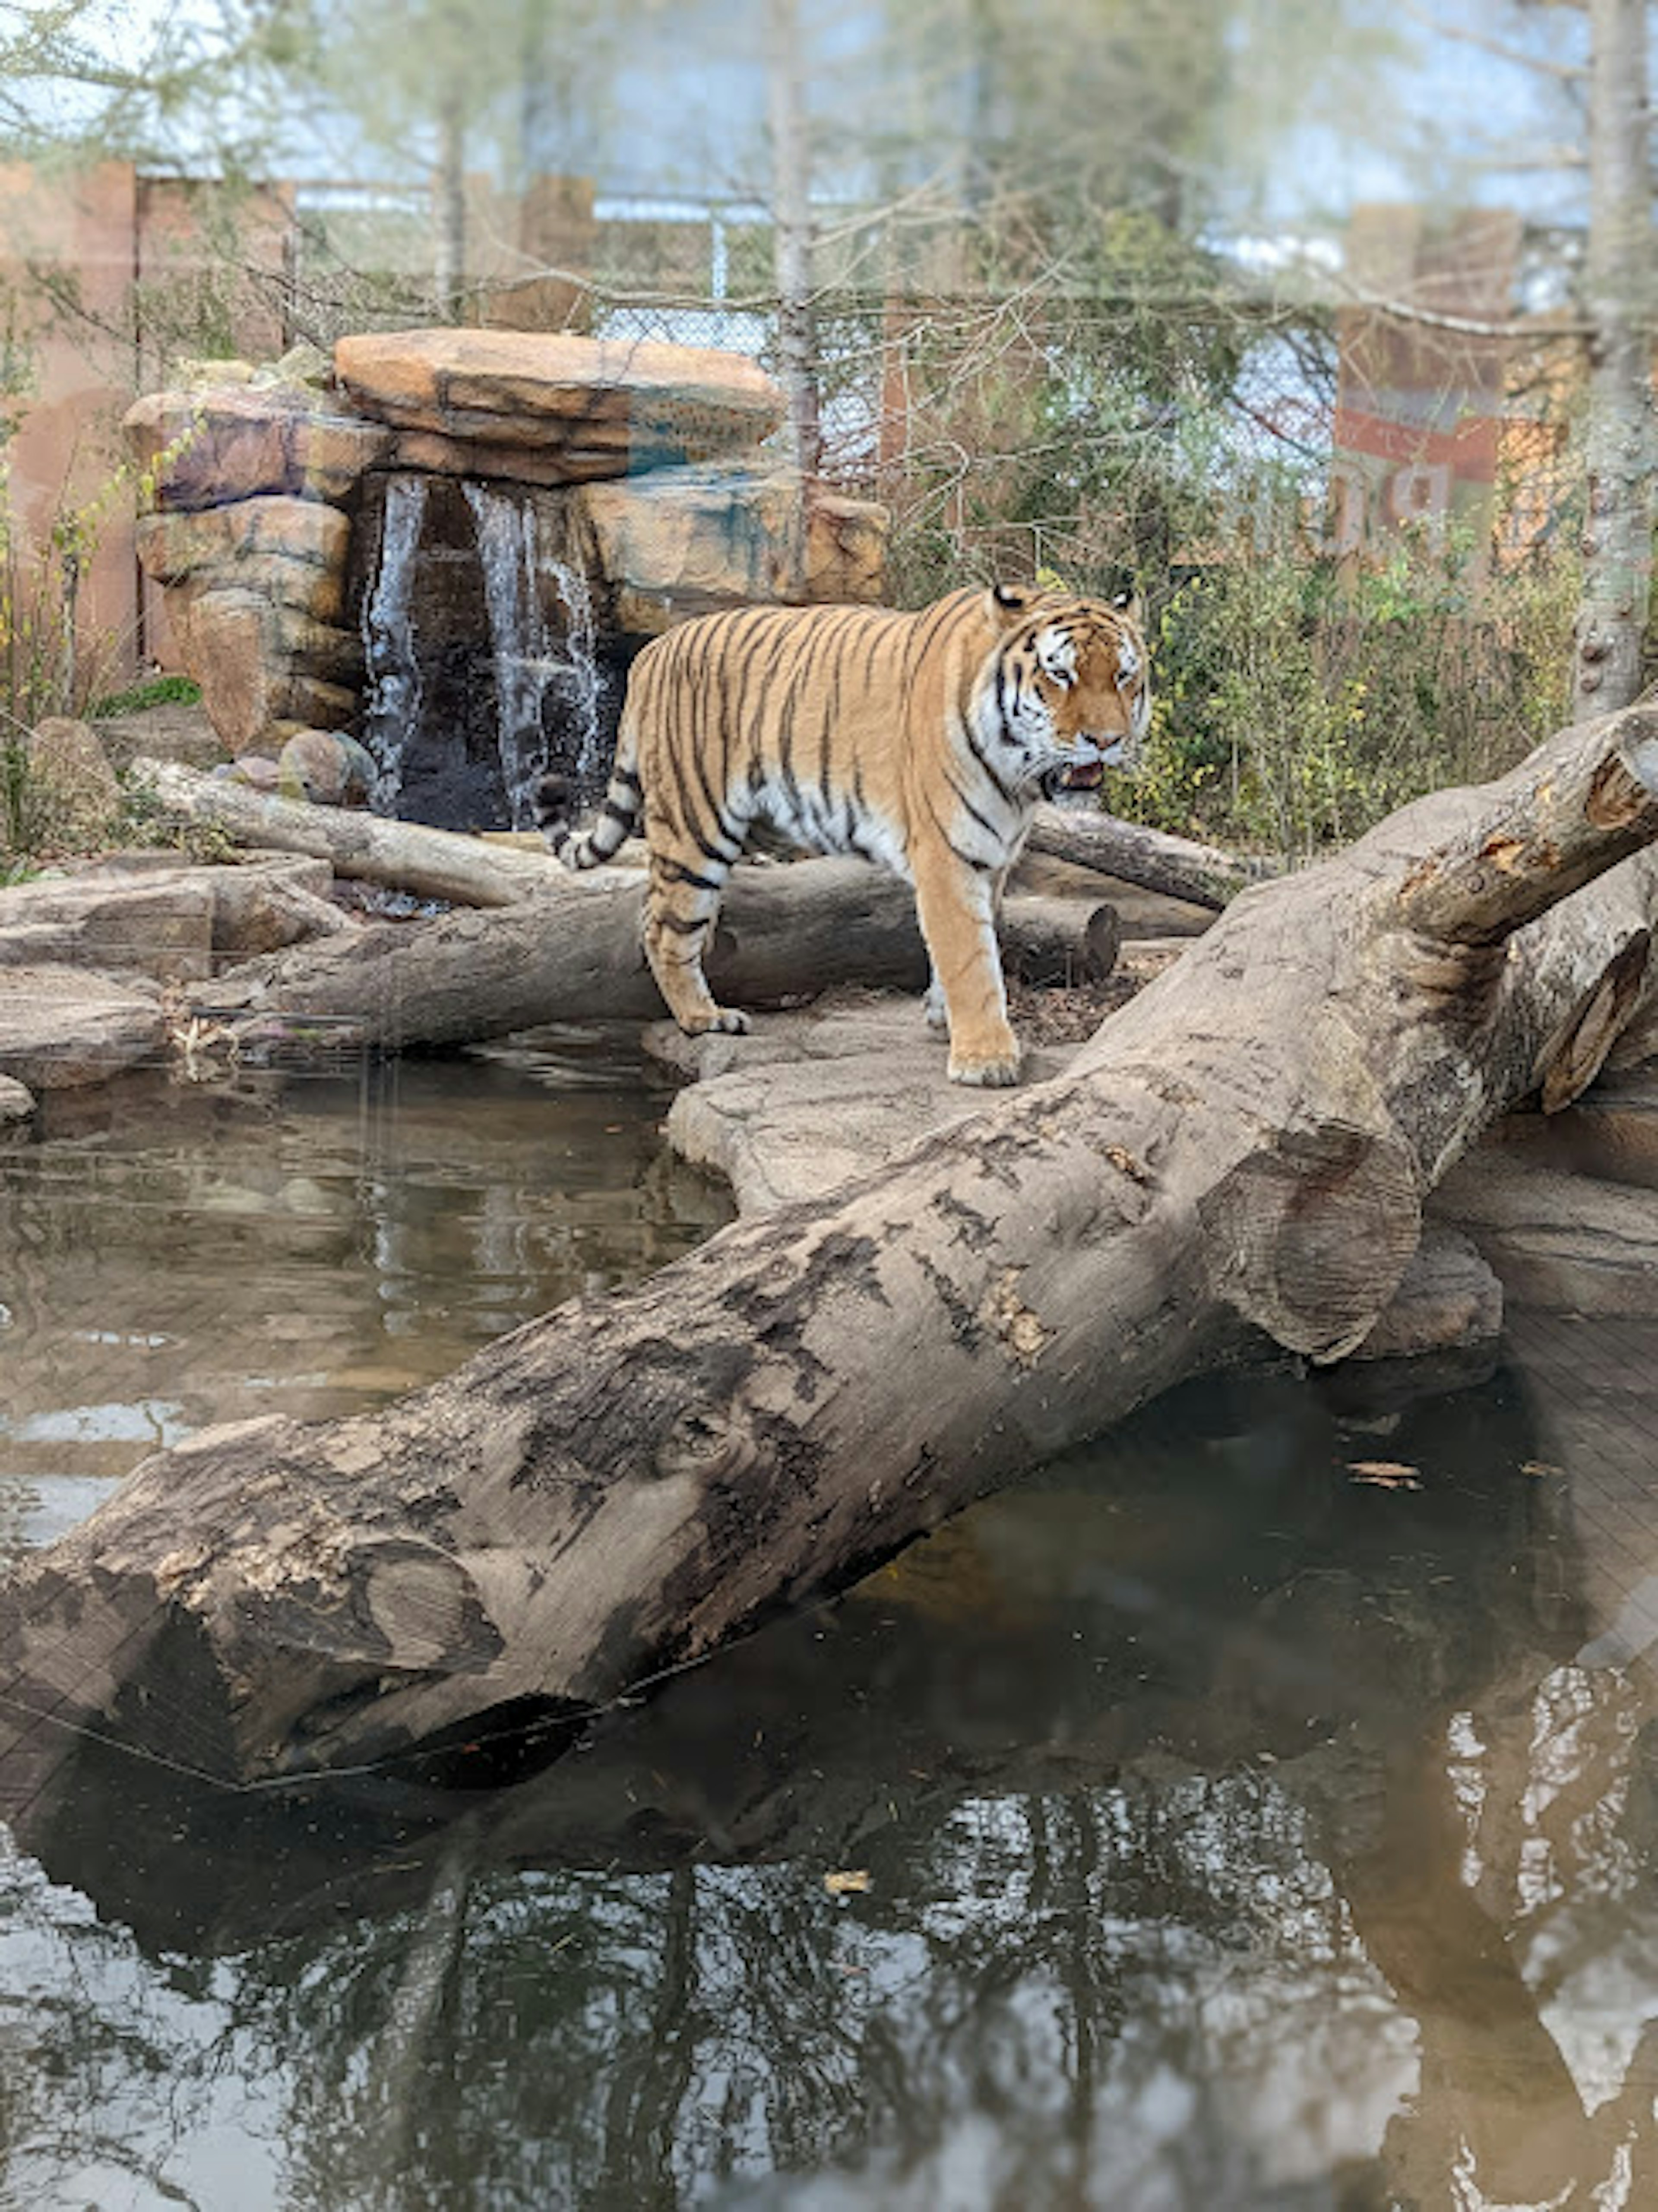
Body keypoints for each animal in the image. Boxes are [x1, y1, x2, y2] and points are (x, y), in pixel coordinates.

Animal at [539, 575, 1149, 1084]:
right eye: (1060, 674)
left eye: (1123, 676)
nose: (1106, 740)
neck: (1018, 780)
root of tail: (650, 651)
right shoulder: (947, 855)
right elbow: (970, 958)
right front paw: (986, 1058)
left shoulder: (994, 858)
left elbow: (978, 940)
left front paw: (942, 1018)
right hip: (697, 824)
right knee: (665, 927)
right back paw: (703, 1018)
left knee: (654, 911)